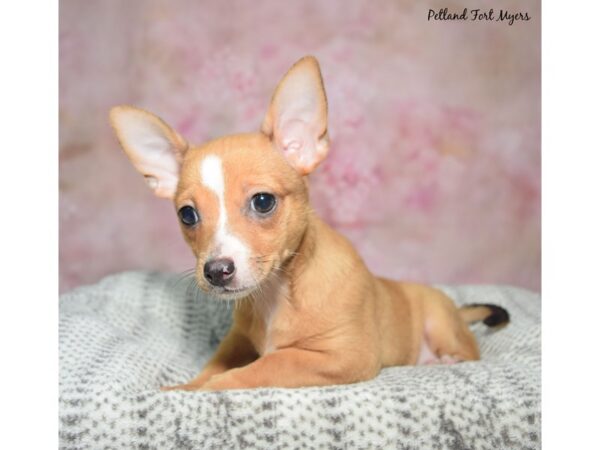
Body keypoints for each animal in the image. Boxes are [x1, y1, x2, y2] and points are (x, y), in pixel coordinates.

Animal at [108, 56, 506, 392]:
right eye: (187, 215)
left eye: (263, 202)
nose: (216, 271)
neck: (277, 293)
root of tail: (455, 311)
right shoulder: (237, 340)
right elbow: (214, 366)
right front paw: (186, 386)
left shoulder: (344, 355)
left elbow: (266, 365)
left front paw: (204, 389)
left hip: (441, 326)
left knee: (466, 352)